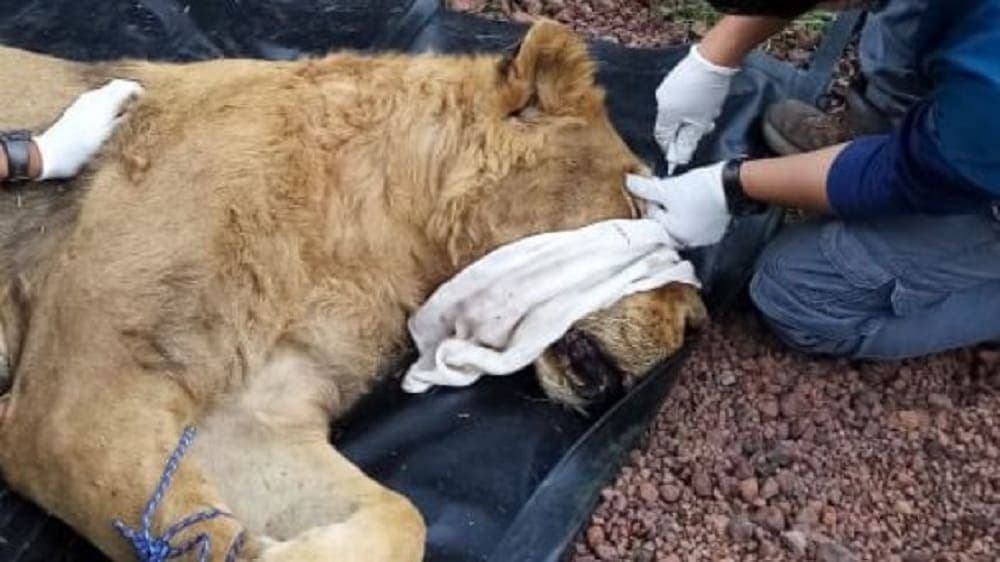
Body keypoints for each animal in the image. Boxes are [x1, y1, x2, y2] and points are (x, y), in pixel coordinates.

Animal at [0, 20, 705, 562]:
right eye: (639, 202)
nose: (697, 323)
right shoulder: (74, 412)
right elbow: (197, 537)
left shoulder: (248, 418)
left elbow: (403, 518)